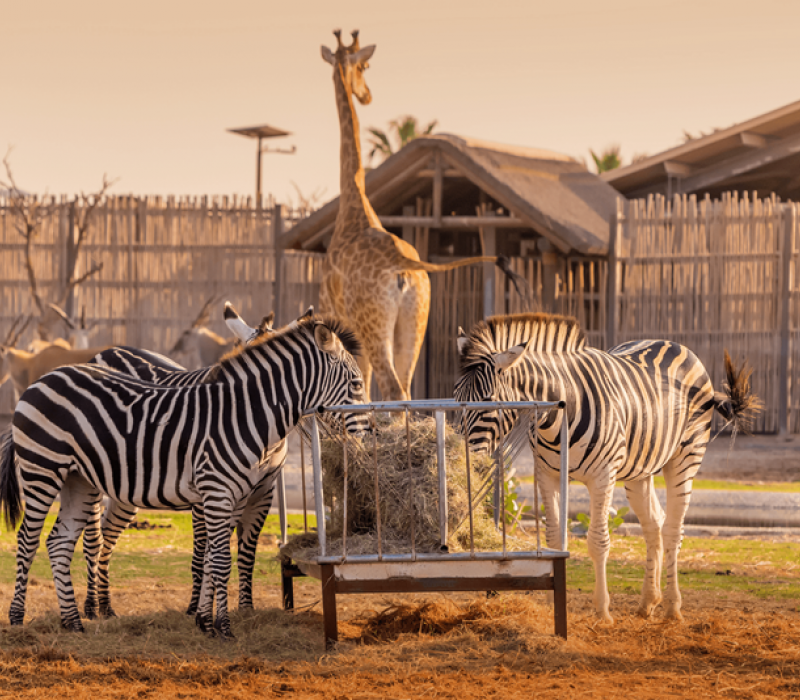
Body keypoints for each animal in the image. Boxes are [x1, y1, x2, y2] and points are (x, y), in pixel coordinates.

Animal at [0, 315, 366, 638]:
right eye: (357, 385)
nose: (370, 432)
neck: (245, 416)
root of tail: (44, 377)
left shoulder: (240, 495)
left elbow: (217, 558)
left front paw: (207, 621)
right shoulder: (216, 491)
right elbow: (218, 560)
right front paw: (223, 628)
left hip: (78, 479)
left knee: (59, 542)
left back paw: (73, 622)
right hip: (42, 469)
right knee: (29, 539)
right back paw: (19, 617)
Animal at [320, 29, 524, 401]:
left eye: (365, 65)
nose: (367, 95)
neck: (354, 203)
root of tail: (406, 267)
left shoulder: (330, 306)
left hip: (376, 324)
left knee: (390, 387)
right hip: (415, 320)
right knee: (404, 388)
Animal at [454, 313, 760, 623]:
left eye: (488, 401)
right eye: (455, 395)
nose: (459, 455)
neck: (559, 412)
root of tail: (672, 343)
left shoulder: (603, 476)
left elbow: (598, 540)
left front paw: (602, 611)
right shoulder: (547, 475)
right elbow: (554, 539)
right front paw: (552, 605)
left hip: (686, 456)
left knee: (673, 529)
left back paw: (673, 608)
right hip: (639, 470)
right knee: (654, 524)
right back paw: (648, 601)